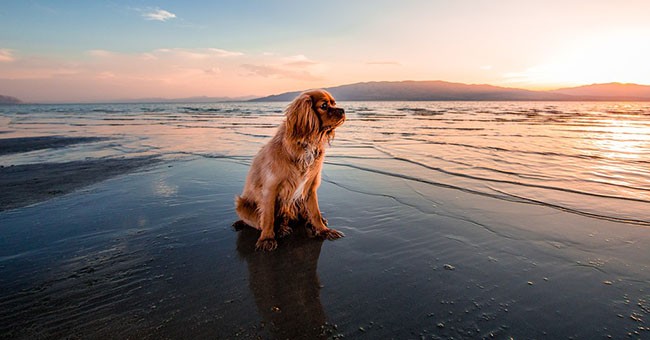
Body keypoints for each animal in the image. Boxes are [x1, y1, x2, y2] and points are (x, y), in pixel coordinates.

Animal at [233, 89, 344, 251]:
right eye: (324, 105)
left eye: (334, 103)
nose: (343, 110)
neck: (306, 144)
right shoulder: (270, 189)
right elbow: (268, 217)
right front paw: (267, 238)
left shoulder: (310, 187)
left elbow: (315, 212)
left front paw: (323, 230)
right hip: (242, 205)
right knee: (263, 222)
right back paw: (280, 229)